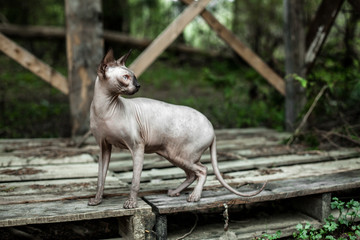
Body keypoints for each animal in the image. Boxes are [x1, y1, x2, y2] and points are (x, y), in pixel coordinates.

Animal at [88, 49, 266, 209]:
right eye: (126, 77)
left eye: (134, 76)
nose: (138, 85)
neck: (105, 109)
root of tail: (212, 127)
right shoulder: (104, 147)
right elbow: (100, 178)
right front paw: (97, 200)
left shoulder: (137, 146)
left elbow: (135, 181)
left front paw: (131, 203)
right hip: (171, 153)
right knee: (191, 174)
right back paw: (175, 192)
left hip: (181, 154)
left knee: (203, 169)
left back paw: (195, 196)